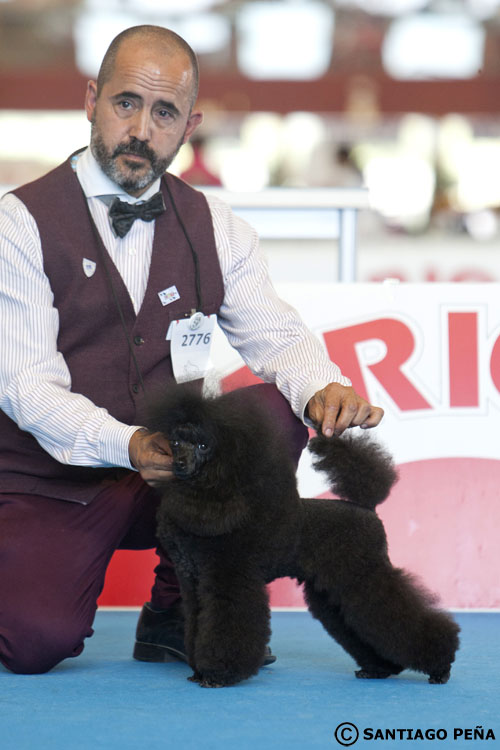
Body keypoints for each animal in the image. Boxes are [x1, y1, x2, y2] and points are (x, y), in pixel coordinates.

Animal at [148, 387, 460, 688]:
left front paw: (217, 675)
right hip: (333, 588)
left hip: (362, 575)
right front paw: (199, 671)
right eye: (176, 443)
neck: (209, 494)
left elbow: (225, 627)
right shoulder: (193, 583)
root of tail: (367, 508)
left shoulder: (230, 578)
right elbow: (197, 625)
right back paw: (379, 668)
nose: (180, 464)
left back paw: (440, 667)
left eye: (203, 446)